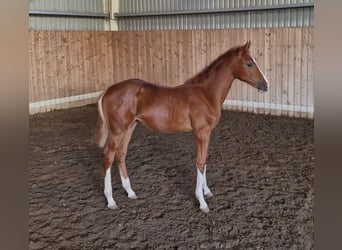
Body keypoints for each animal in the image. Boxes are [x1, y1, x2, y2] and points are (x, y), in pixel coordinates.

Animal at [96, 41, 270, 213]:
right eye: (249, 63)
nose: (266, 85)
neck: (206, 94)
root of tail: (107, 91)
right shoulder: (201, 132)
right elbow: (200, 162)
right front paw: (202, 201)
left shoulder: (207, 132)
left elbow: (205, 159)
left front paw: (207, 191)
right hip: (117, 131)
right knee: (108, 155)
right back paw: (110, 200)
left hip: (129, 128)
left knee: (121, 154)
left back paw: (130, 192)